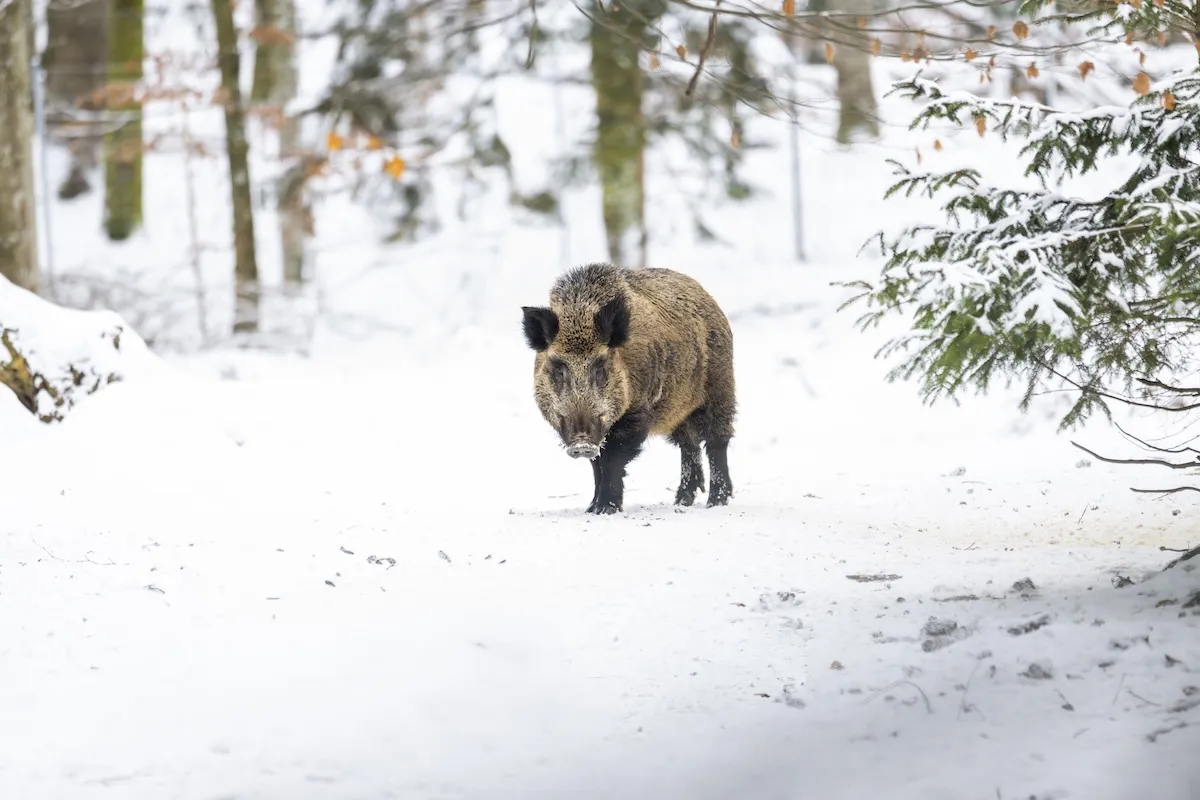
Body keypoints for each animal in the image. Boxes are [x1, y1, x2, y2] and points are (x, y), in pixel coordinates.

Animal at [521, 262, 736, 514]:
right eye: (559, 368)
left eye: (600, 367)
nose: (582, 443)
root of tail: (708, 298)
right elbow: (597, 464)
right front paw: (592, 508)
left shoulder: (638, 411)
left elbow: (612, 460)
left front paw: (606, 509)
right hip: (677, 409)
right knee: (689, 444)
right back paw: (682, 501)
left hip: (720, 387)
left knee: (717, 441)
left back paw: (716, 502)